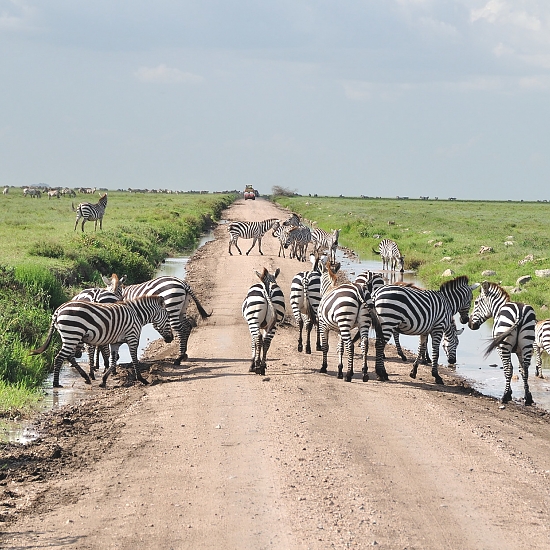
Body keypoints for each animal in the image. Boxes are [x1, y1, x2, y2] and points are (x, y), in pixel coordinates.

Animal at [30, 295, 173, 388]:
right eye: (168, 318)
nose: (171, 338)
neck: (137, 314)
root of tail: (58, 310)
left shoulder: (116, 342)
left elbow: (114, 360)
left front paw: (104, 380)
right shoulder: (133, 337)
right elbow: (134, 358)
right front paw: (141, 379)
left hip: (69, 336)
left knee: (69, 357)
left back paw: (86, 377)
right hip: (73, 334)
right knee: (59, 358)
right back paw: (56, 383)